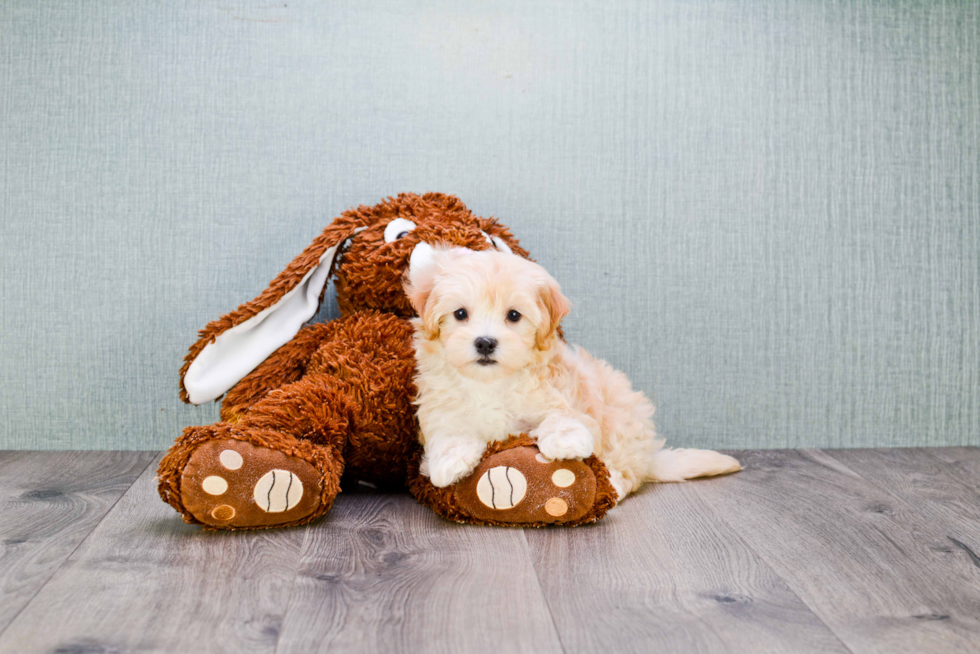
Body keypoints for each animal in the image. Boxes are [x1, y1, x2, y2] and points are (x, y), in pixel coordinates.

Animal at [406, 250, 744, 502]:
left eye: (513, 315)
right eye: (460, 314)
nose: (485, 342)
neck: (491, 383)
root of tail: (648, 455)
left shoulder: (564, 397)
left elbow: (561, 416)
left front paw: (565, 441)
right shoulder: (439, 408)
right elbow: (448, 432)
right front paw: (449, 462)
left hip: (621, 423)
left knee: (626, 474)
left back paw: (613, 486)